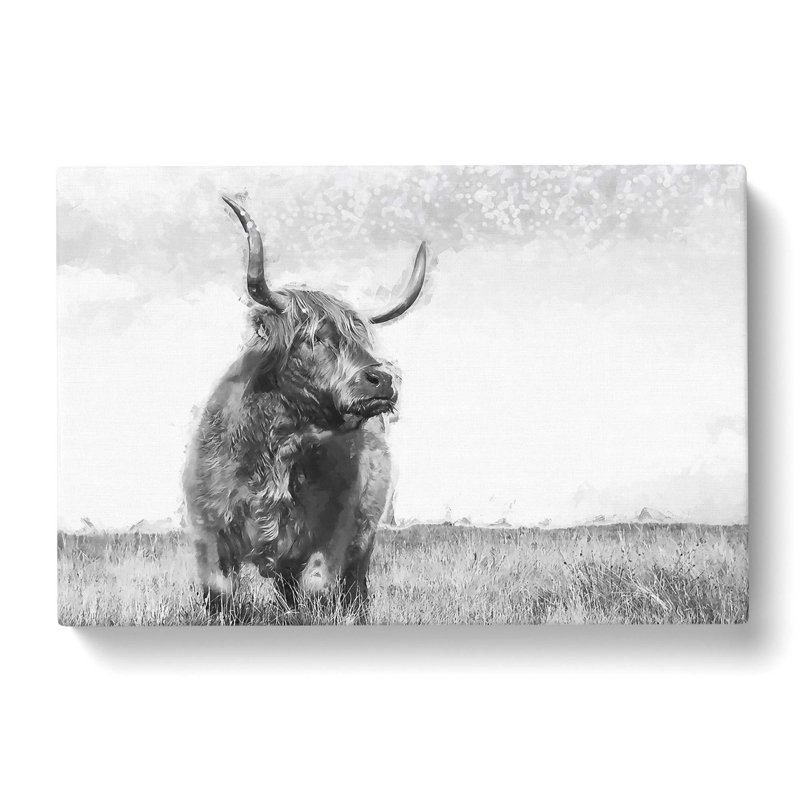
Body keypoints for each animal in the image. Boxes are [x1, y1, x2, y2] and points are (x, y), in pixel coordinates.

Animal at [182, 195, 427, 619]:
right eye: (314, 337)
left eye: (363, 338)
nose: (383, 379)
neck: (281, 449)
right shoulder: (209, 531)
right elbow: (219, 595)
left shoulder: (331, 534)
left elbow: (318, 590)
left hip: (364, 539)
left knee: (354, 586)